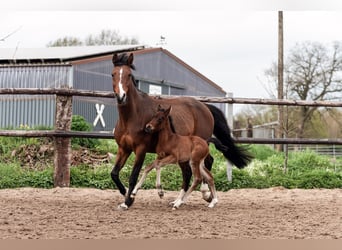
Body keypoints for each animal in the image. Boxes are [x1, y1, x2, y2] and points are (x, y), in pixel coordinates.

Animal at [111, 52, 252, 209]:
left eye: (129, 75)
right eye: (113, 74)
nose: (121, 96)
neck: (131, 117)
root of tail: (206, 107)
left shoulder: (141, 149)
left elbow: (134, 175)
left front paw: (128, 201)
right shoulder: (123, 148)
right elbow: (114, 173)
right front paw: (125, 193)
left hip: (199, 145)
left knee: (205, 164)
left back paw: (204, 195)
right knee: (191, 171)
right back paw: (189, 198)